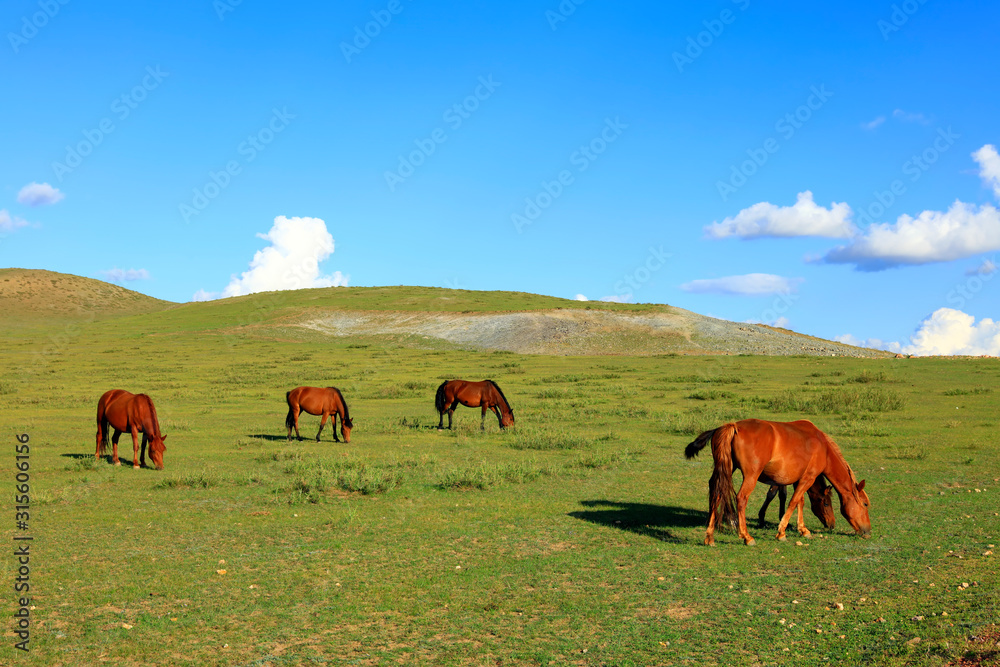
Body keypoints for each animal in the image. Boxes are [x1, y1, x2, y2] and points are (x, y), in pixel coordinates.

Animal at [685, 419, 870, 546]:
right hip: (750, 476)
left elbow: (800, 502)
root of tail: (733, 426)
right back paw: (747, 537)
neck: (823, 448)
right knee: (741, 498)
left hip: (725, 470)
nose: (868, 530)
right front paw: (781, 532)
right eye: (865, 504)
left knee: (716, 494)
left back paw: (709, 537)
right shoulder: (807, 478)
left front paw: (803, 530)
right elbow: (793, 502)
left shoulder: (798, 480)